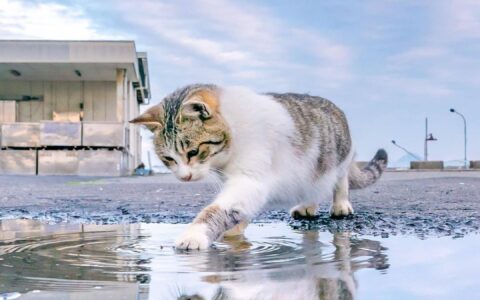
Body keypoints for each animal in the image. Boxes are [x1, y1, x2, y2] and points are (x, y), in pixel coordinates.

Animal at [130, 83, 386, 250]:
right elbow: (235, 208)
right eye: (169, 159)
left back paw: (341, 204)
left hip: (339, 158)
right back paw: (307, 206)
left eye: (192, 152)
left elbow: (218, 209)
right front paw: (233, 230)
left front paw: (194, 234)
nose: (185, 177)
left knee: (339, 180)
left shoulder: (250, 179)